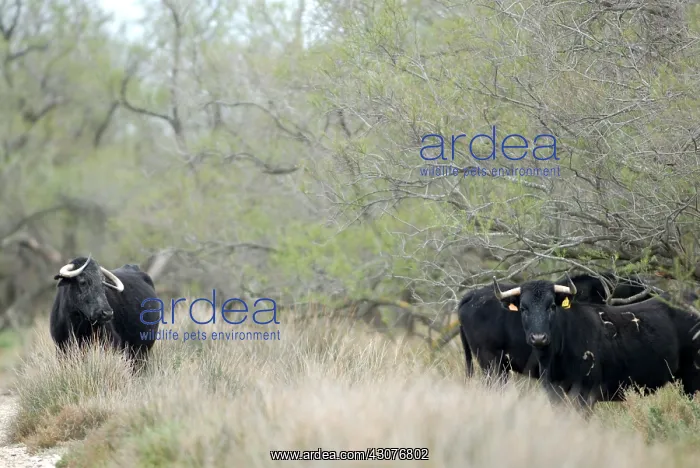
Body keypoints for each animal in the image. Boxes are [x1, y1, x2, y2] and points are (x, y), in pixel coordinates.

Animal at [492, 275, 700, 410]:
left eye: (551, 306)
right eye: (523, 308)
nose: (539, 338)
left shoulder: (586, 394)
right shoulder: (553, 392)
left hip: (692, 379)